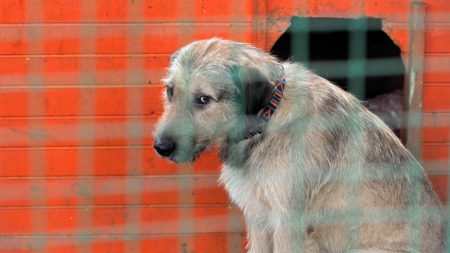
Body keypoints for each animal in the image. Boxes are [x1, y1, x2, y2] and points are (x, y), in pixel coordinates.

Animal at [152, 38, 446, 252]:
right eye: (170, 90)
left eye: (204, 99)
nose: (161, 147)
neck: (268, 118)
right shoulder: (259, 218)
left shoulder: (287, 223)